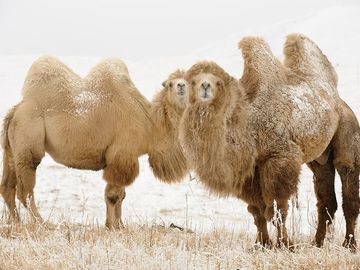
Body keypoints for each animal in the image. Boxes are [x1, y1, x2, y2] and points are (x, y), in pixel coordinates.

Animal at [0, 56, 188, 228]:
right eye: (170, 84)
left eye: (189, 81)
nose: (181, 86)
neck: (150, 124)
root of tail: (15, 111)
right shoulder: (122, 155)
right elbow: (114, 195)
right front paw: (113, 226)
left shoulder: (121, 158)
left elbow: (120, 195)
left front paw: (118, 225)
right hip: (28, 139)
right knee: (25, 190)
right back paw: (43, 223)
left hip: (12, 148)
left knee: (8, 187)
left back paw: (16, 222)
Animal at [179, 34, 360, 251]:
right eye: (192, 81)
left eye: (217, 82)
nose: (204, 88)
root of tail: (338, 100)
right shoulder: (249, 169)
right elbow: (257, 210)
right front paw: (262, 244)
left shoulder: (279, 158)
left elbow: (276, 209)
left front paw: (286, 245)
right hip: (320, 157)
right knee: (325, 197)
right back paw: (317, 243)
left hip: (348, 130)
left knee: (348, 183)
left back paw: (349, 244)